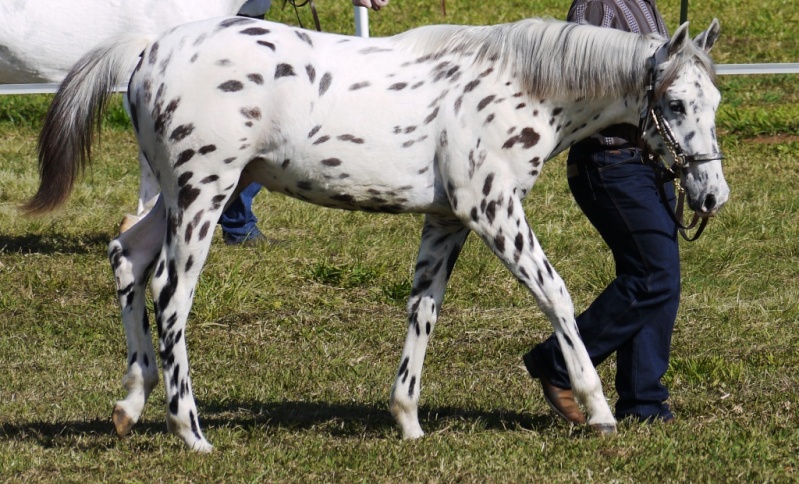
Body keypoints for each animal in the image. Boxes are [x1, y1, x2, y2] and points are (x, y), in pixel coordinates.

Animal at [28, 17, 732, 452]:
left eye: (715, 103)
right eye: (674, 105)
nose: (710, 195)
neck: (521, 85)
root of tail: (149, 51)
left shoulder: (446, 221)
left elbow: (423, 310)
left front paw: (408, 421)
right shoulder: (493, 211)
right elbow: (556, 296)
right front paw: (599, 410)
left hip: (174, 197)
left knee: (127, 257)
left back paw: (130, 404)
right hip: (204, 192)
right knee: (171, 295)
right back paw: (191, 432)